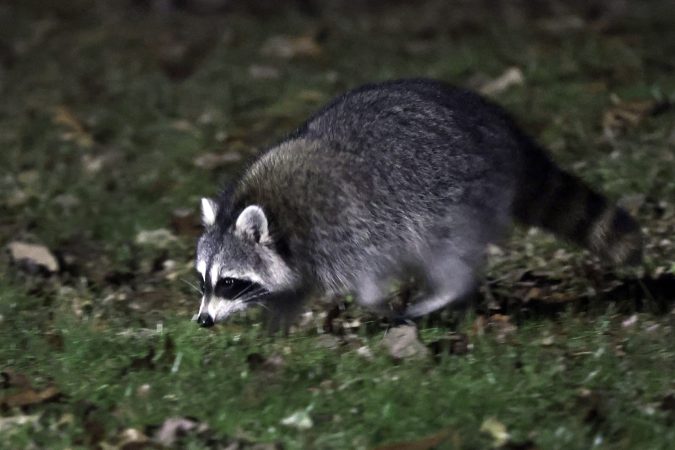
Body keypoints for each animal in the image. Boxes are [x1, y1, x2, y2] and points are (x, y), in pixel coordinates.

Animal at [194, 79, 642, 328]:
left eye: (229, 282)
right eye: (203, 281)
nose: (202, 321)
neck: (271, 211)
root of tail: (502, 129)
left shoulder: (347, 226)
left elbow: (368, 272)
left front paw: (374, 302)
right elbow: (293, 286)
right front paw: (279, 319)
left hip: (456, 195)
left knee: (446, 251)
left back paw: (444, 292)